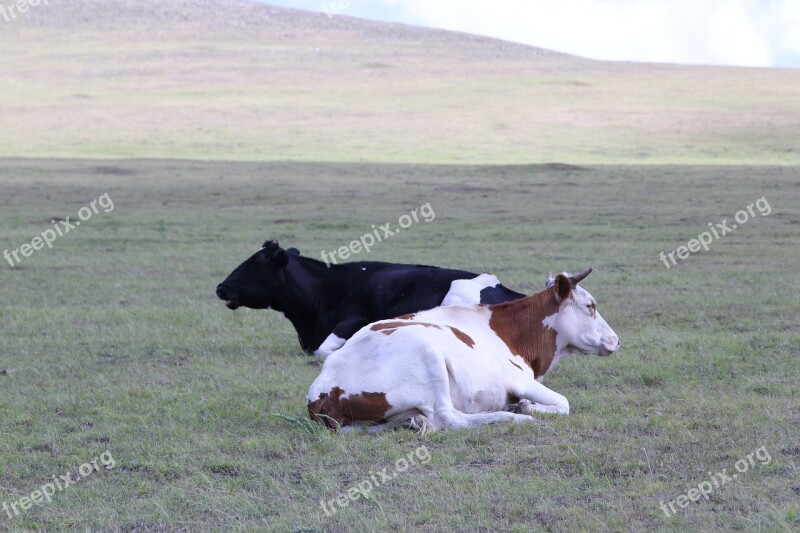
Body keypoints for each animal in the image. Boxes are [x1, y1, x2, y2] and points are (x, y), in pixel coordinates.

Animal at [306, 268, 620, 434]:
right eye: (590, 306)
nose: (616, 340)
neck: (511, 333)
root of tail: (321, 394)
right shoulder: (519, 380)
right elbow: (565, 403)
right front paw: (527, 407)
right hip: (428, 354)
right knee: (449, 418)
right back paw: (512, 416)